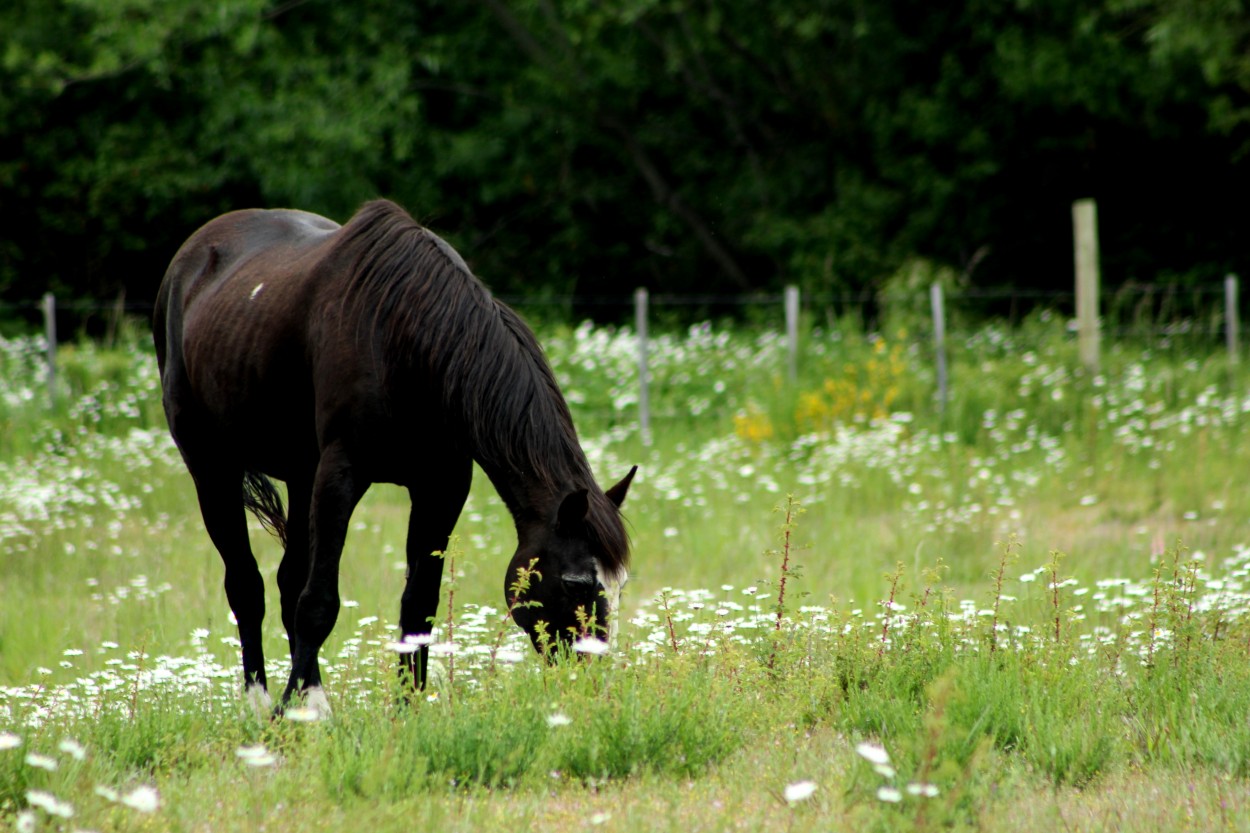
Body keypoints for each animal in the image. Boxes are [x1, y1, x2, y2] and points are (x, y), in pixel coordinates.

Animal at [152, 197, 635, 710]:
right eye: (576, 582)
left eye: (620, 584)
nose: (590, 677)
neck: (408, 341)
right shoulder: (341, 474)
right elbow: (319, 602)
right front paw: (298, 710)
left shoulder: (441, 487)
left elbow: (417, 605)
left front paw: (409, 706)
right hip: (212, 466)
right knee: (246, 585)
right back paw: (262, 702)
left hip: (302, 476)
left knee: (287, 580)